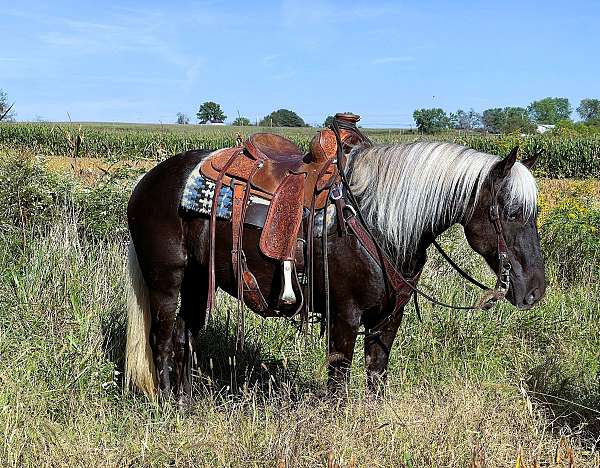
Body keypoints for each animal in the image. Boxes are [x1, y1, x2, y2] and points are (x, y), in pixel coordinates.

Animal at [124, 141, 548, 400]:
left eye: (534, 213)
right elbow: (339, 381)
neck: (377, 221)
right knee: (162, 340)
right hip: (166, 282)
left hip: (198, 282)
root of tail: (147, 180)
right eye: (512, 213)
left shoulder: (388, 319)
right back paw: (169, 407)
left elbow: (376, 373)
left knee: (184, 337)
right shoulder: (344, 315)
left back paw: (187, 402)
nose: (535, 291)